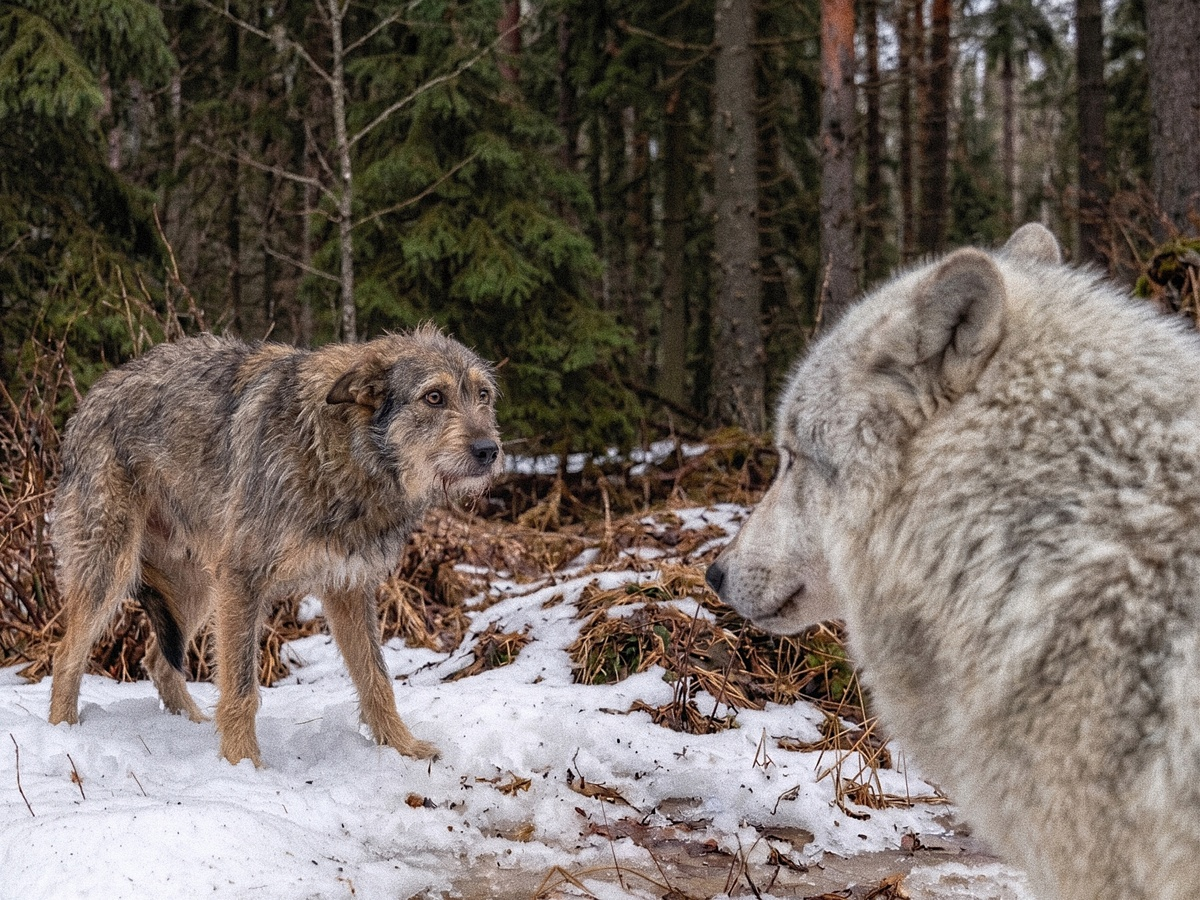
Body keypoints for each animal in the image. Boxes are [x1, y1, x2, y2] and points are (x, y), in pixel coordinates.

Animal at [49, 326, 502, 766]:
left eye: (483, 395)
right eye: (434, 396)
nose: (489, 450)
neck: (342, 450)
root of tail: (93, 395)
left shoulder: (348, 588)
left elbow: (376, 680)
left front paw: (402, 749)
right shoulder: (242, 580)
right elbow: (241, 690)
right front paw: (243, 765)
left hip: (198, 589)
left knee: (157, 662)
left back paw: (191, 727)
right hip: (114, 572)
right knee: (66, 656)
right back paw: (62, 733)